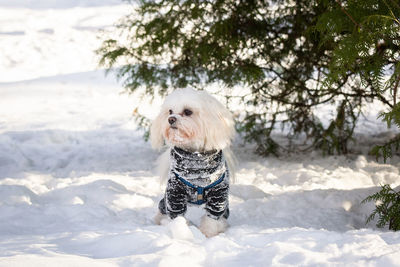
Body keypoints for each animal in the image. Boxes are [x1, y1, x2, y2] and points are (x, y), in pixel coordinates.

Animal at [152, 88, 236, 239]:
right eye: (170, 111)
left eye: (188, 111)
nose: (171, 119)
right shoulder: (175, 192)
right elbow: (176, 215)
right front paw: (182, 233)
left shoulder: (218, 195)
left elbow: (212, 218)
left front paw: (208, 234)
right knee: (162, 207)